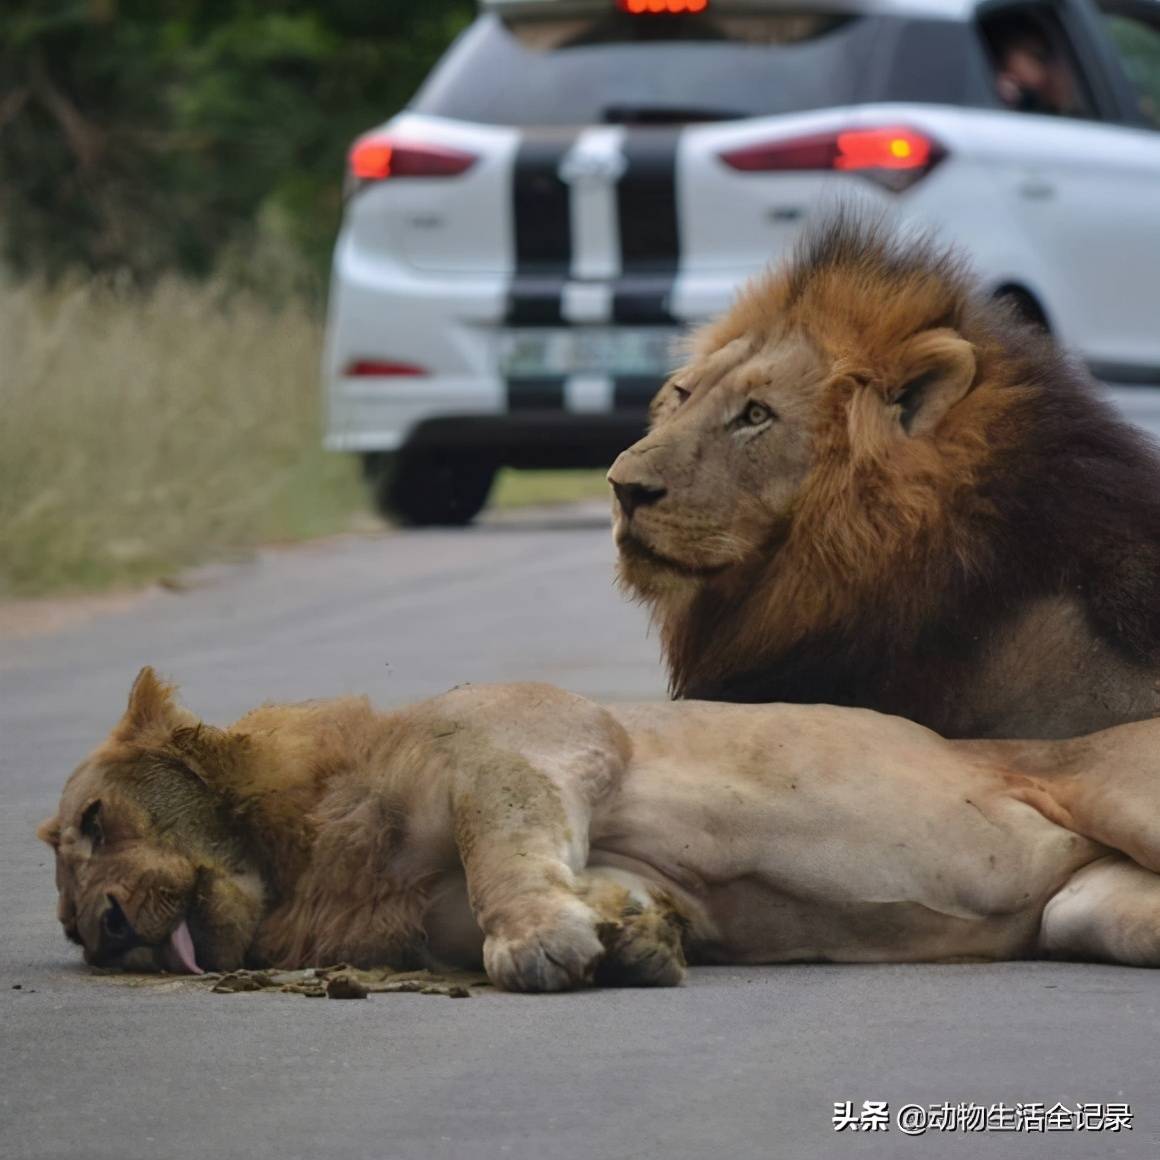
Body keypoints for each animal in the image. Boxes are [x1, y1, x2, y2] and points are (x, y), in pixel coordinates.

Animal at [33, 672, 1160, 988]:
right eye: (68, 925)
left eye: (96, 818)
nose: (105, 927)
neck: (308, 856)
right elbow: (611, 884)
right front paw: (634, 940)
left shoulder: (542, 738)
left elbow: (499, 839)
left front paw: (538, 942)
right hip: (1088, 909)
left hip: (1125, 799)